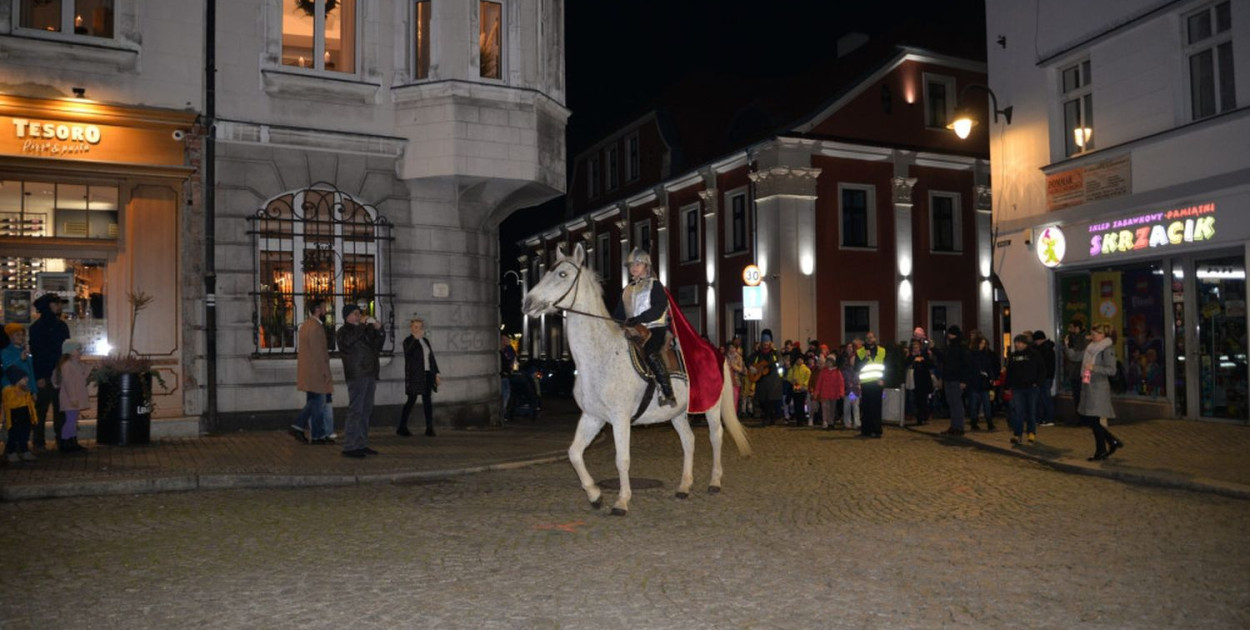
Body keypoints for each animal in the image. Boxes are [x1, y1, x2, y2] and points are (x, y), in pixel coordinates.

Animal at [520, 243, 750, 515]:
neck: (601, 355)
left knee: (716, 437)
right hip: (677, 413)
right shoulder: (593, 416)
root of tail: (717, 351)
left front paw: (622, 501)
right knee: (689, 441)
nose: (527, 302)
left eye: (562, 274)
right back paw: (684, 487)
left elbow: (622, 459)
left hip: (711, 407)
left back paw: (714, 482)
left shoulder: (620, 418)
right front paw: (595, 495)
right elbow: (574, 453)